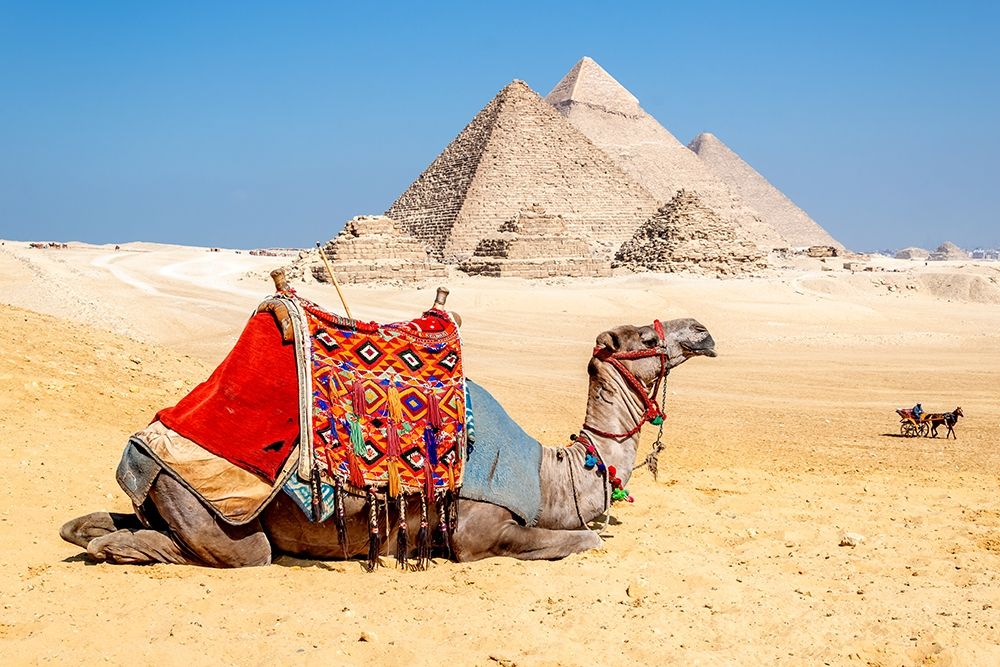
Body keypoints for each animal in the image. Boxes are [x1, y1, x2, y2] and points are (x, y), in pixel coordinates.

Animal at [61, 316, 716, 567]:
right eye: (642, 336)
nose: (703, 332)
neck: (552, 474)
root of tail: (146, 438)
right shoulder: (474, 530)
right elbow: (585, 540)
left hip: (162, 492)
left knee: (100, 521)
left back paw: (92, 534)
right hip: (211, 506)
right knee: (245, 553)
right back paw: (110, 549)